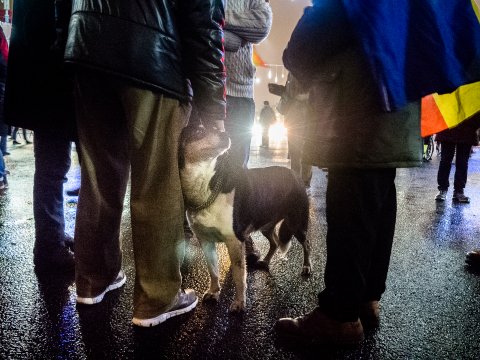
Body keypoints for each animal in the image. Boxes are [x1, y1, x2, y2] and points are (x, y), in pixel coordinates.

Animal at [180, 126, 312, 312]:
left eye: (216, 128)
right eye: (198, 131)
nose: (226, 134)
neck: (205, 187)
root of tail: (294, 174)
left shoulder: (235, 241)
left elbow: (238, 275)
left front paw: (239, 303)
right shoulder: (205, 240)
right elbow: (213, 270)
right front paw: (213, 292)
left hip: (296, 223)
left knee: (306, 244)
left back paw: (307, 267)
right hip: (266, 225)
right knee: (275, 242)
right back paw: (265, 261)